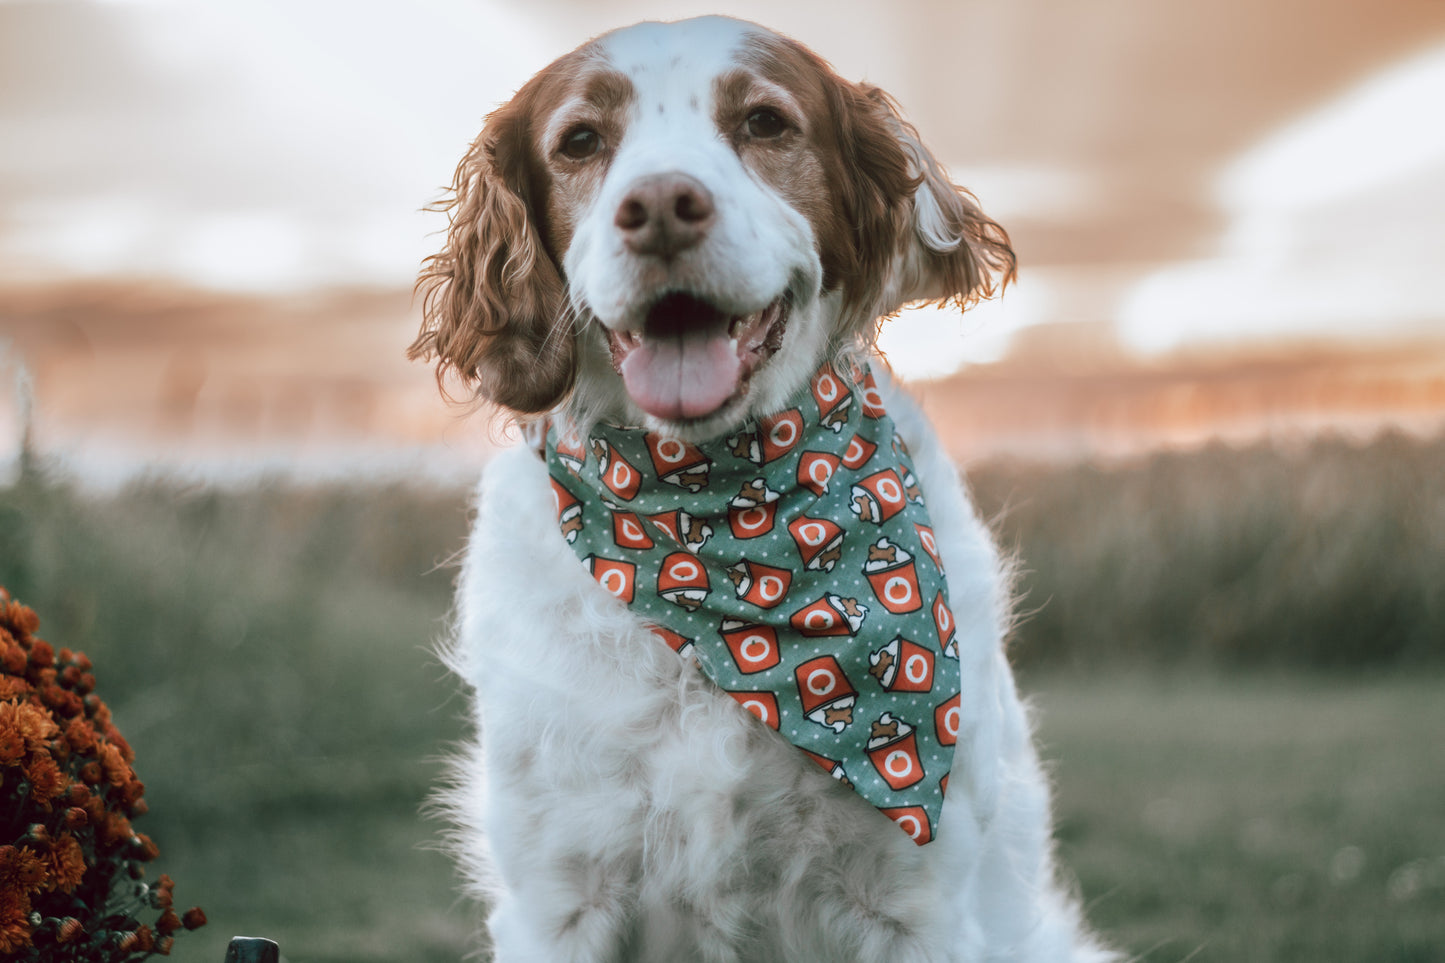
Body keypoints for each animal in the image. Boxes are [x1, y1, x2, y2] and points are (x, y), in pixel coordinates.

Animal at [413, 15, 1109, 960]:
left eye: (764, 123)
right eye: (580, 141)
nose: (660, 207)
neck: (726, 518)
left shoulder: (916, 906)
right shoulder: (560, 894)